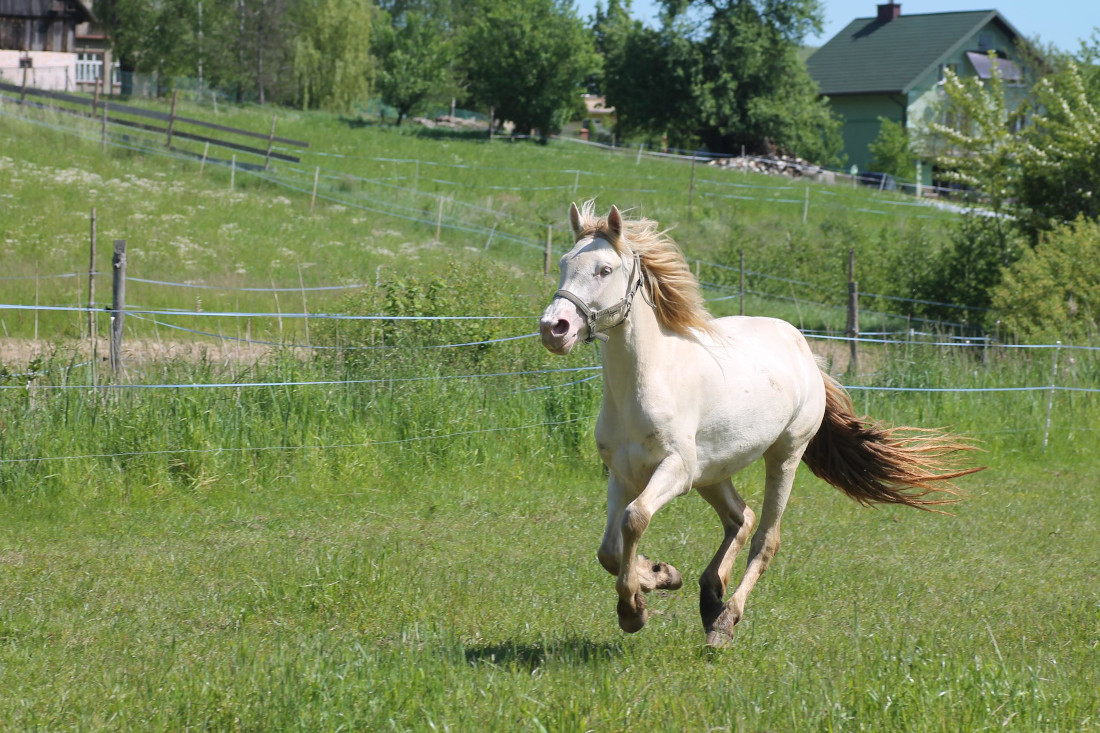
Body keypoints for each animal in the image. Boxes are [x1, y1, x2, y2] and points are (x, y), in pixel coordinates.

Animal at [541, 202, 981, 642]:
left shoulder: (675, 470)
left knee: (766, 539)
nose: (553, 328)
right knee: (741, 518)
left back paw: (725, 620)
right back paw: (710, 593)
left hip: (783, 456)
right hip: (712, 472)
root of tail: (804, 350)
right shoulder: (623, 474)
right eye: (563, 263)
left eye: (604, 269)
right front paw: (660, 575)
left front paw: (634, 609)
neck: (651, 380)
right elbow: (610, 550)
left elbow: (634, 520)